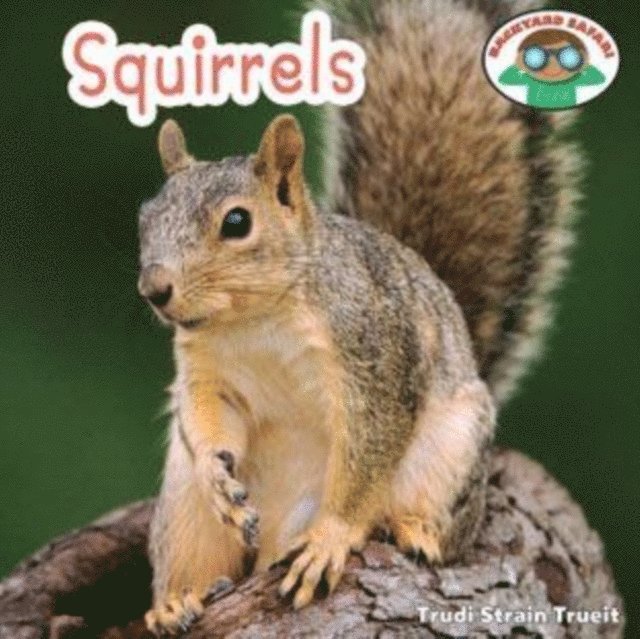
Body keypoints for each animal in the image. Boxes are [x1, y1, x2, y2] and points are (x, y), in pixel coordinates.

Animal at [138, 0, 580, 635]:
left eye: (237, 222)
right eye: (145, 219)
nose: (155, 289)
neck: (255, 320)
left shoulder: (374, 355)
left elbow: (368, 452)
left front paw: (331, 538)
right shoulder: (208, 372)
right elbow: (206, 420)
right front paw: (217, 474)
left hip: (449, 456)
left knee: (437, 525)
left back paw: (411, 530)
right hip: (183, 514)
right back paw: (176, 600)